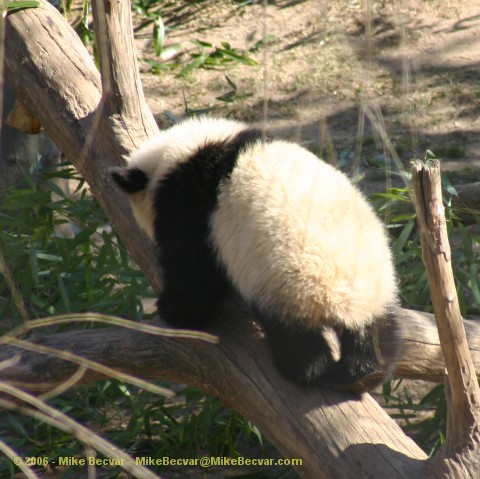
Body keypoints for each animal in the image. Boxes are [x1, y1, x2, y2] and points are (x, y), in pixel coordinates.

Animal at [110, 117, 400, 394]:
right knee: (376, 331)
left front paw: (170, 310)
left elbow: (193, 278)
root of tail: (346, 301)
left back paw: (304, 372)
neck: (183, 153)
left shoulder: (190, 210)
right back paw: (362, 374)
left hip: (289, 287)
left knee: (297, 341)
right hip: (379, 283)